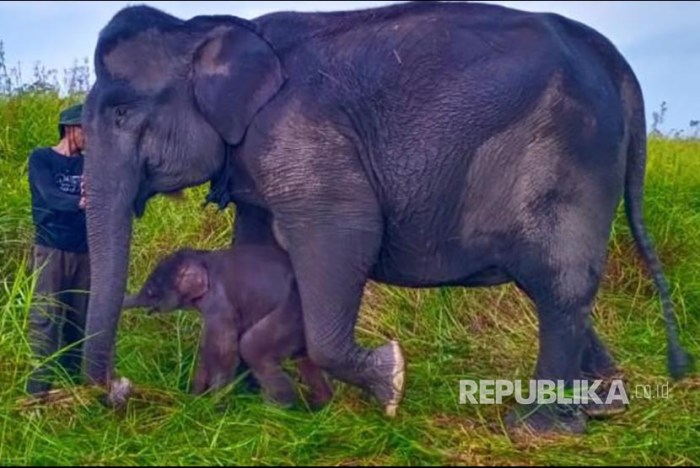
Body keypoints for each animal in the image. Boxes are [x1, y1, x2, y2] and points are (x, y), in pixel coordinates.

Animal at [122, 245, 334, 410]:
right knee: (304, 358)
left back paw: (276, 411)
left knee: (252, 349)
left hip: (292, 314)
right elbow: (206, 349)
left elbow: (223, 352)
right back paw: (317, 407)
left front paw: (214, 407)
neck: (203, 257)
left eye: (150, 292)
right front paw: (193, 400)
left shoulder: (220, 304)